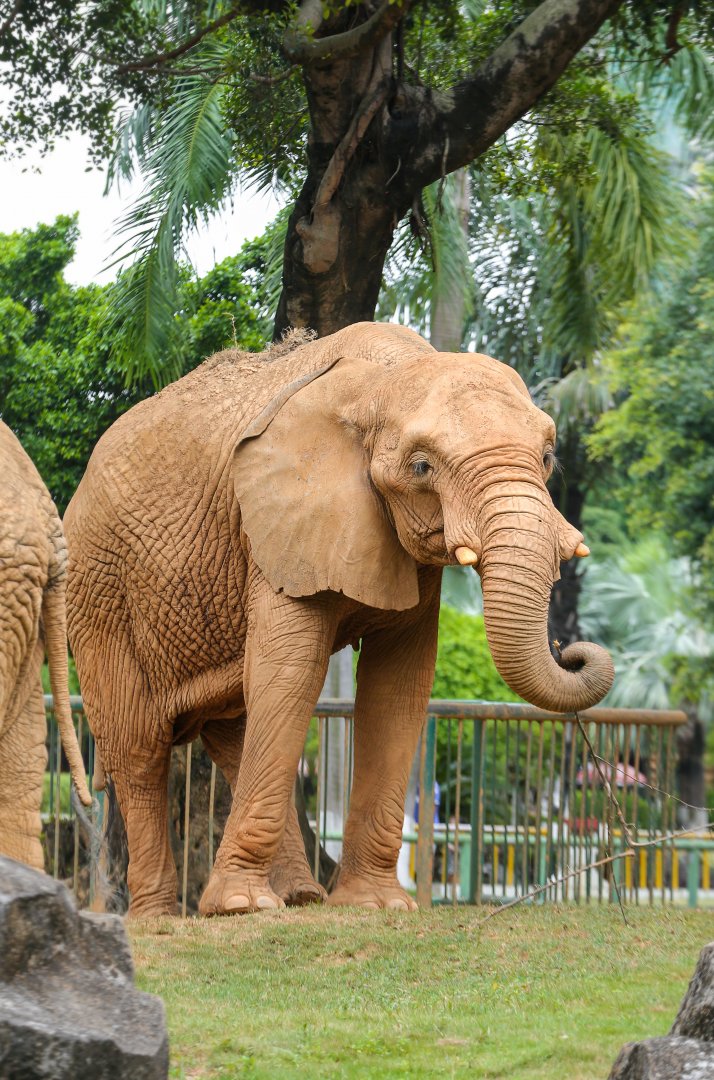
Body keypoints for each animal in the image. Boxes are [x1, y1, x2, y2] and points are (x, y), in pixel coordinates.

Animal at [64, 321, 613, 917]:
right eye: (421, 467)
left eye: (548, 457)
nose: (572, 651)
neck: (382, 379)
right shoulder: (283, 526)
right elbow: (292, 671)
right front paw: (239, 907)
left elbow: (397, 685)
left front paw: (378, 906)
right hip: (98, 589)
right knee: (139, 748)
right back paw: (165, 916)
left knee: (235, 730)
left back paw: (300, 898)